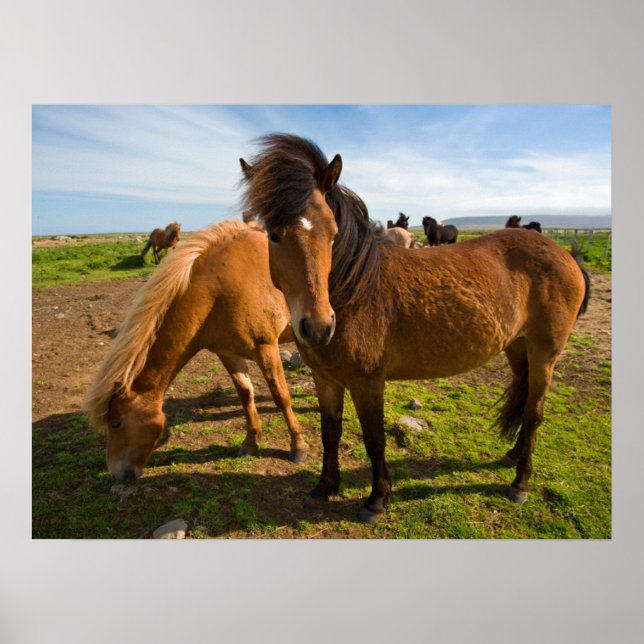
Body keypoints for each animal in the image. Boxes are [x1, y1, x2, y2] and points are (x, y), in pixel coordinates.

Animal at [84, 220, 309, 482]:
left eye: (116, 423)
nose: (116, 472)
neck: (219, 289)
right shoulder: (228, 354)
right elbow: (246, 395)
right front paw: (251, 443)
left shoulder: (266, 348)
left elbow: (281, 396)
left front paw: (298, 445)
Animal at [240, 134, 590, 524]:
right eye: (273, 235)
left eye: (332, 233)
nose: (318, 326)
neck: (355, 292)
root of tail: (566, 256)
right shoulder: (325, 379)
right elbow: (330, 433)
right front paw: (323, 490)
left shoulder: (367, 382)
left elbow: (373, 438)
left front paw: (377, 499)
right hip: (518, 348)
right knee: (526, 403)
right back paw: (512, 456)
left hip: (545, 353)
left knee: (534, 412)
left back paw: (520, 483)